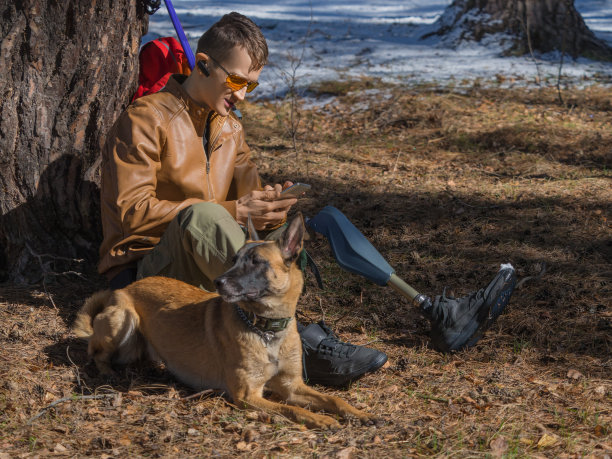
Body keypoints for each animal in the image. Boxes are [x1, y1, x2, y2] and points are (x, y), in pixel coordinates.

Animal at [74, 214, 376, 430]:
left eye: (256, 262)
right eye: (234, 259)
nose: (218, 282)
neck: (267, 330)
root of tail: (125, 288)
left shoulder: (292, 386)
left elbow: (333, 398)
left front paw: (357, 413)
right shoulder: (248, 395)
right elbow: (290, 409)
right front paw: (321, 419)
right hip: (124, 321)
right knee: (95, 353)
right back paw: (108, 372)